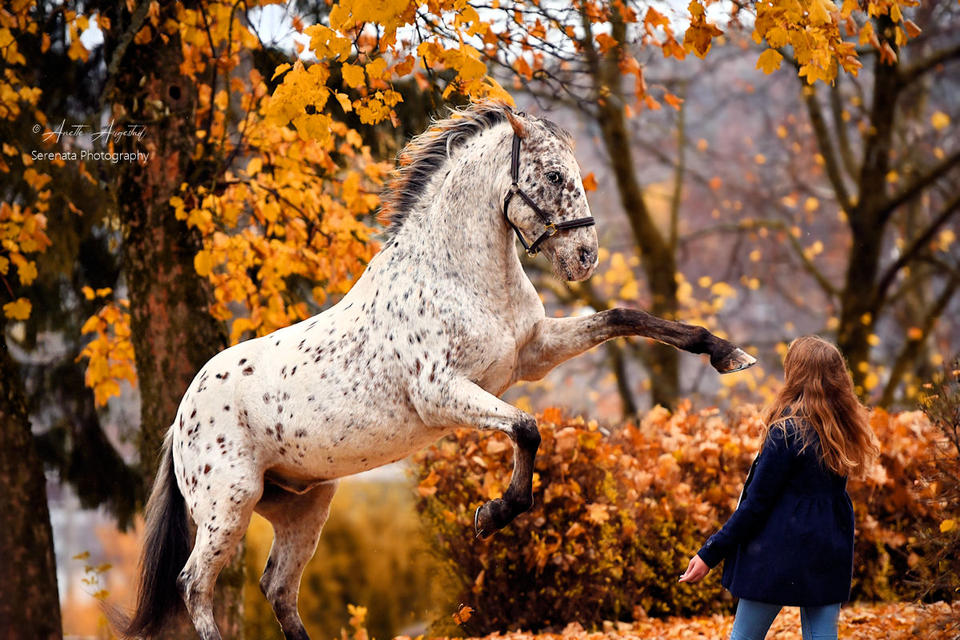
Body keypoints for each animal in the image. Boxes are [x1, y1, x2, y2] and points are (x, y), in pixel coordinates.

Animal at [118, 104, 752, 640]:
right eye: (550, 175)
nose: (584, 259)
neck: (458, 276)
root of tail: (181, 415)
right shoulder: (443, 393)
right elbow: (526, 429)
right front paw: (490, 517)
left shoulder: (532, 354)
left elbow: (626, 318)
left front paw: (727, 354)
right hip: (229, 504)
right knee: (193, 587)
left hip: (303, 504)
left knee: (278, 589)